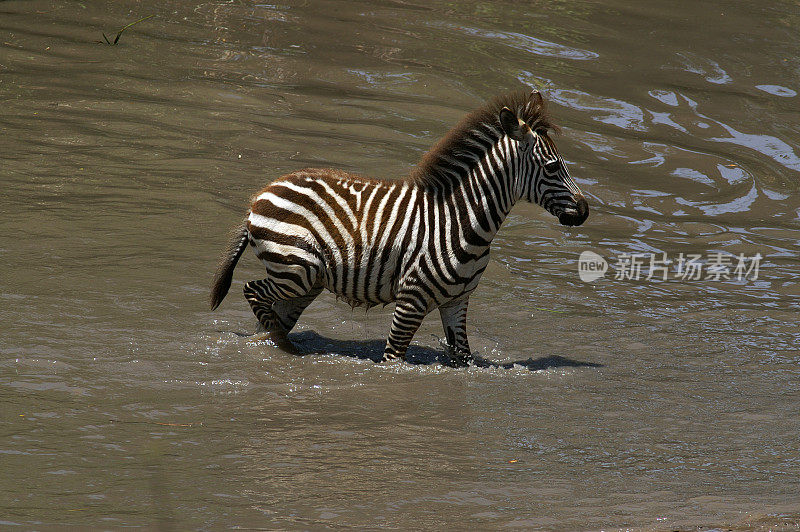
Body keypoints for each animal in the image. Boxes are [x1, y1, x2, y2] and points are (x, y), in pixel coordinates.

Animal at [212, 89, 588, 368]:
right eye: (552, 167)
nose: (584, 211)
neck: (462, 220)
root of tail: (260, 195)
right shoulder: (411, 299)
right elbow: (394, 358)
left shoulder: (458, 302)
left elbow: (464, 359)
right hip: (296, 269)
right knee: (252, 291)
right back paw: (286, 346)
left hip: (307, 281)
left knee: (268, 319)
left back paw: (280, 344)